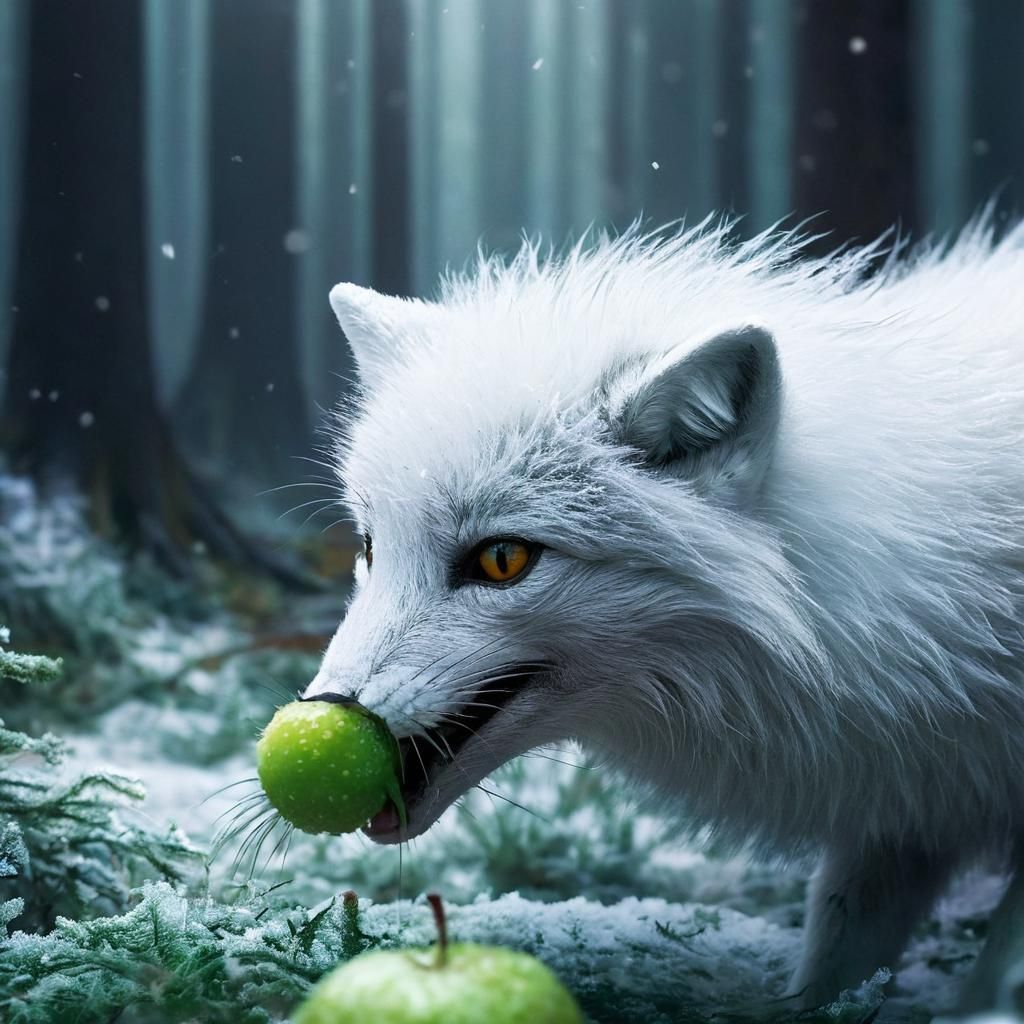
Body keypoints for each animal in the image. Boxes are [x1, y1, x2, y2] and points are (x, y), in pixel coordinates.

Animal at [302, 218, 1024, 1012]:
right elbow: (831, 970)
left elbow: (993, 976)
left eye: (502, 560)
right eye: (371, 548)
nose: (329, 710)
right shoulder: (903, 810)